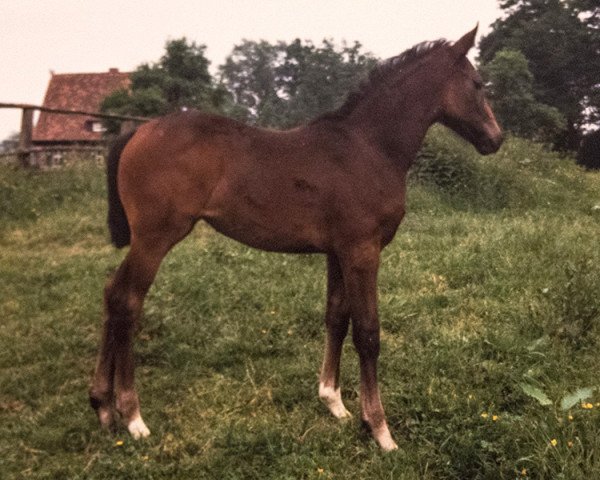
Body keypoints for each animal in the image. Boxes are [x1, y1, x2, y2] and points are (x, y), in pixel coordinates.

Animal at [89, 28, 502, 452]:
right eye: (478, 84)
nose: (496, 138)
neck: (368, 148)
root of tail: (137, 131)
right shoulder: (362, 251)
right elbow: (368, 332)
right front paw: (380, 429)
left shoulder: (338, 252)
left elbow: (336, 317)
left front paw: (334, 402)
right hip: (155, 238)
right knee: (127, 302)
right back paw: (133, 416)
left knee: (112, 294)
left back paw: (102, 406)